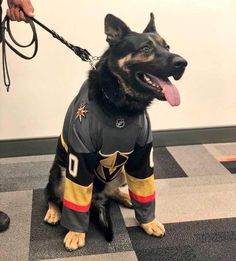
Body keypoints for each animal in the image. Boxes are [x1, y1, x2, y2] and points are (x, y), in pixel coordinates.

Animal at [43, 12, 188, 250]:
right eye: (146, 48)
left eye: (167, 46)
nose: (183, 63)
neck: (120, 106)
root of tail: (97, 196)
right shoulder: (79, 159)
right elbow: (75, 202)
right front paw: (76, 232)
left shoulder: (142, 157)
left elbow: (145, 192)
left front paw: (148, 222)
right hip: (61, 173)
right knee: (53, 196)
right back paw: (54, 212)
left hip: (120, 172)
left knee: (111, 191)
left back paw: (125, 197)